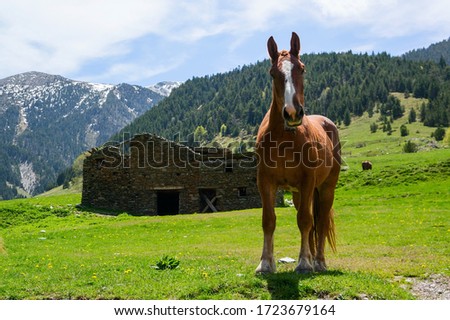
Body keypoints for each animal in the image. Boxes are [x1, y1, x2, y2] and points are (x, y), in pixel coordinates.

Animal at [255, 31, 340, 272]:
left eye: (302, 68)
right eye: (273, 73)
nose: (293, 113)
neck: (285, 139)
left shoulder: (308, 181)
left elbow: (305, 221)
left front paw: (303, 263)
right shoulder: (265, 181)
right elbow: (269, 220)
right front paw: (265, 263)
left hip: (325, 188)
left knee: (319, 222)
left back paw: (318, 261)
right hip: (298, 193)